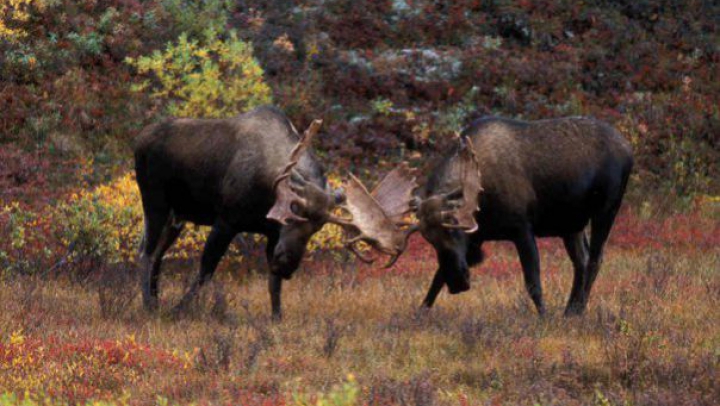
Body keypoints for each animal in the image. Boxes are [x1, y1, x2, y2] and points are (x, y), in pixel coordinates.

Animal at [134, 105, 416, 320]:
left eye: (318, 229)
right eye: (293, 210)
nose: (288, 264)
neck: (267, 193)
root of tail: (139, 138)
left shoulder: (271, 235)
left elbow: (274, 284)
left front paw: (276, 318)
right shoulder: (226, 221)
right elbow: (206, 269)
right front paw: (179, 309)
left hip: (177, 216)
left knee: (157, 253)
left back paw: (155, 300)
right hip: (154, 200)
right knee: (146, 252)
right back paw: (148, 305)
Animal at [380, 116, 632, 316]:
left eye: (453, 226)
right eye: (429, 240)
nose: (458, 283)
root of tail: (628, 149)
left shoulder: (521, 228)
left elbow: (533, 281)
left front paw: (544, 316)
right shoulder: (474, 239)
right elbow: (436, 278)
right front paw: (420, 312)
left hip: (606, 210)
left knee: (595, 259)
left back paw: (577, 310)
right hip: (571, 223)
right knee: (581, 259)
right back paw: (570, 310)